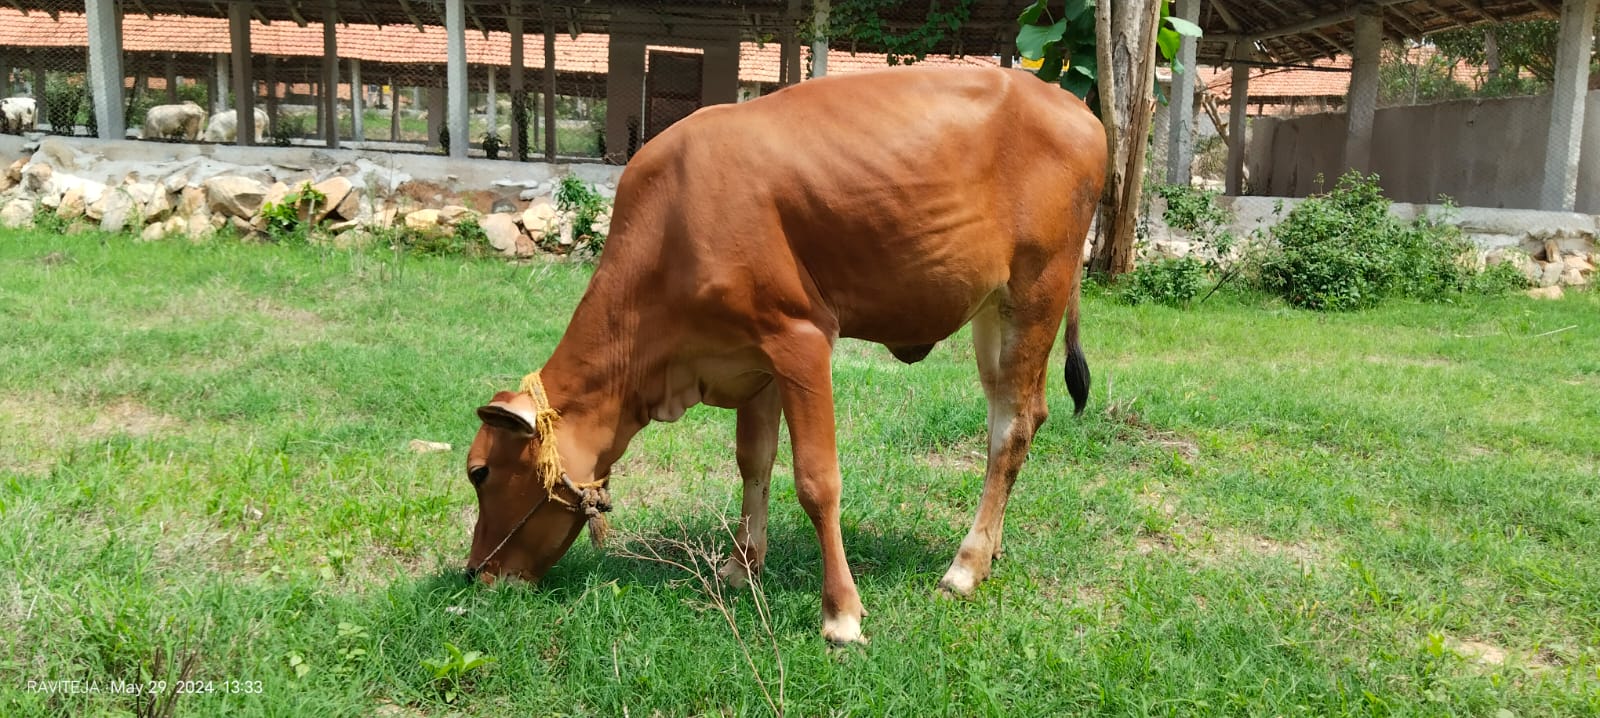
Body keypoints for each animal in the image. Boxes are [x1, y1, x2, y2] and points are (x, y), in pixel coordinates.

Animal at [464, 66, 1107, 644]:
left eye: (480, 472)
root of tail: (1074, 104)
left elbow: (816, 480)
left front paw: (841, 613)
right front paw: (741, 564)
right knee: (1017, 414)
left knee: (1012, 429)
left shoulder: (800, 338)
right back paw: (989, 552)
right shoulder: (753, 356)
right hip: (991, 310)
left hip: (1037, 289)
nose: (477, 575)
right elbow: (754, 460)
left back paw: (965, 567)